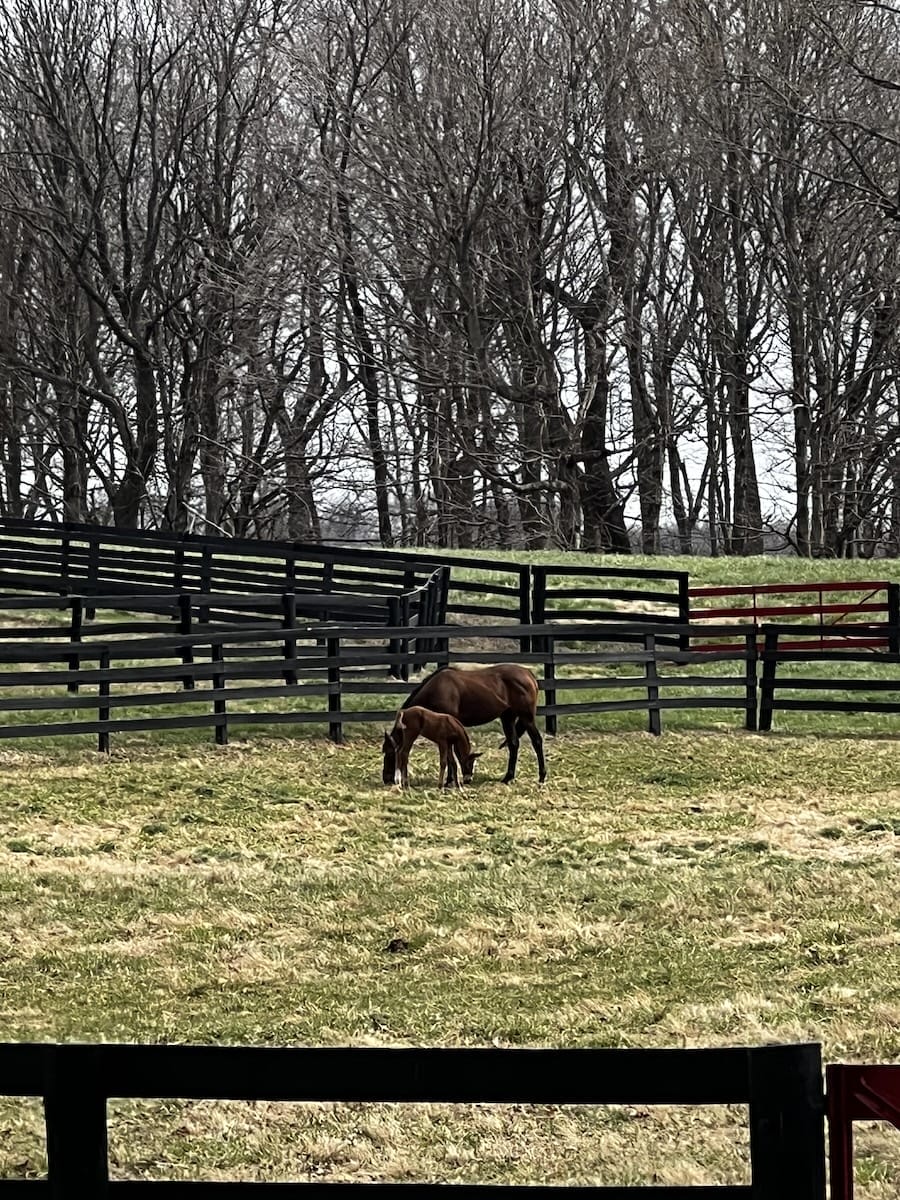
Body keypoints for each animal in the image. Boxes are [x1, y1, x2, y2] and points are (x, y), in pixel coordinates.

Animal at [381, 664, 546, 785]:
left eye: (389, 753)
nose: (387, 779)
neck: (438, 688)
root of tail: (528, 674)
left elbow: (450, 755)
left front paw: (449, 781)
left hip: (526, 717)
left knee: (537, 741)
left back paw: (542, 777)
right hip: (508, 717)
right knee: (513, 744)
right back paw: (507, 778)